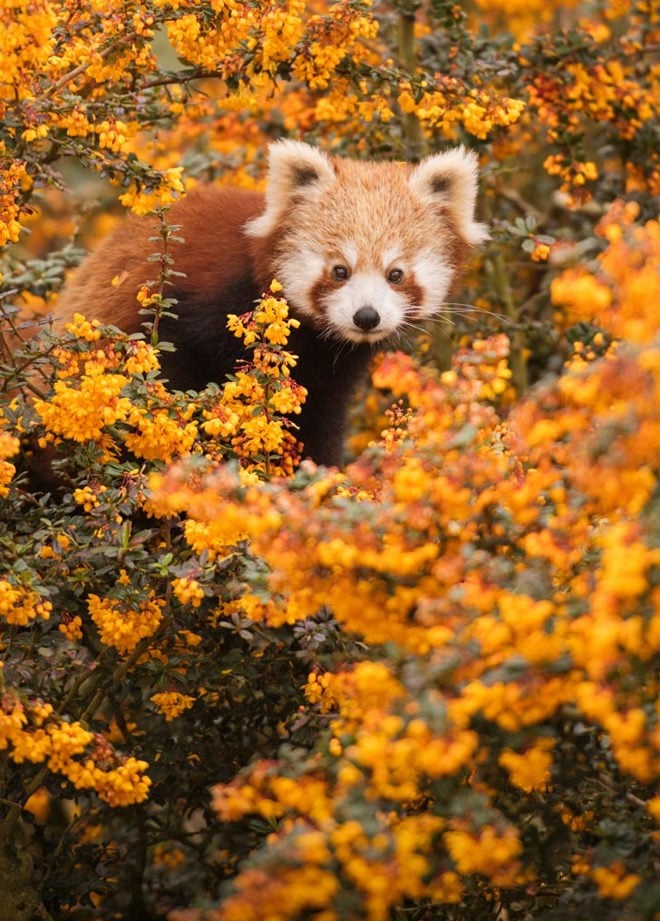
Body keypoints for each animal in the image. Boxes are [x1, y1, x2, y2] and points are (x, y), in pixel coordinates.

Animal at [59, 142, 488, 468]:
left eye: (395, 274)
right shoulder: (191, 304)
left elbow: (316, 425)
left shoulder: (328, 380)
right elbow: (172, 369)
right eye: (340, 270)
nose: (366, 316)